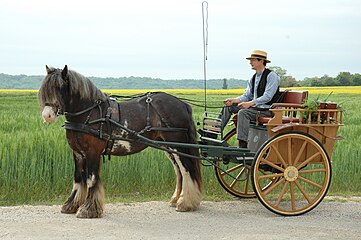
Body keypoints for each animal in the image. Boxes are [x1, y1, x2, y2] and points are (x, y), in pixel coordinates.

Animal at [39, 65, 202, 218]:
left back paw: (185, 203)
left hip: (177, 145)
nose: (47, 116)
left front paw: (88, 210)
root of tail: (183, 104)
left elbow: (91, 179)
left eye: (59, 88)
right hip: (167, 146)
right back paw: (176, 199)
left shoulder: (93, 152)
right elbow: (78, 179)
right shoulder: (78, 153)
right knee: (178, 171)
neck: (90, 112)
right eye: (45, 89)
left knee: (186, 169)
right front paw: (71, 206)